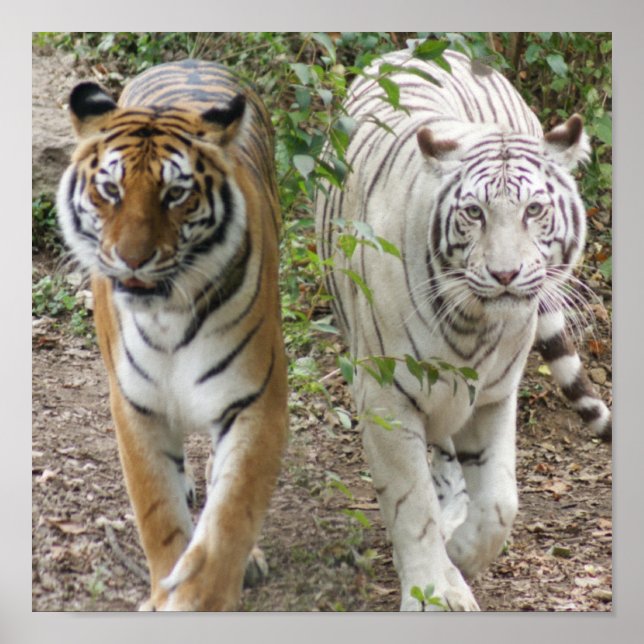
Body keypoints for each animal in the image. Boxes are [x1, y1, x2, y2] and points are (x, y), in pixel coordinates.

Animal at [56, 59, 288, 611]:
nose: (133, 259)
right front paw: (167, 587)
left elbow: (231, 514)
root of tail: (189, 60)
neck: (168, 317)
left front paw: (201, 596)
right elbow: (157, 512)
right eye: (110, 190)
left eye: (176, 194)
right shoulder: (136, 406)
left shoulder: (256, 401)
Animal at [315, 47, 611, 610]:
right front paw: (435, 589)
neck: (475, 324)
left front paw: (465, 555)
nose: (505, 274)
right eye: (474, 213)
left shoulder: (493, 395)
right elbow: (411, 504)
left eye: (534, 209)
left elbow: (499, 501)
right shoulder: (386, 395)